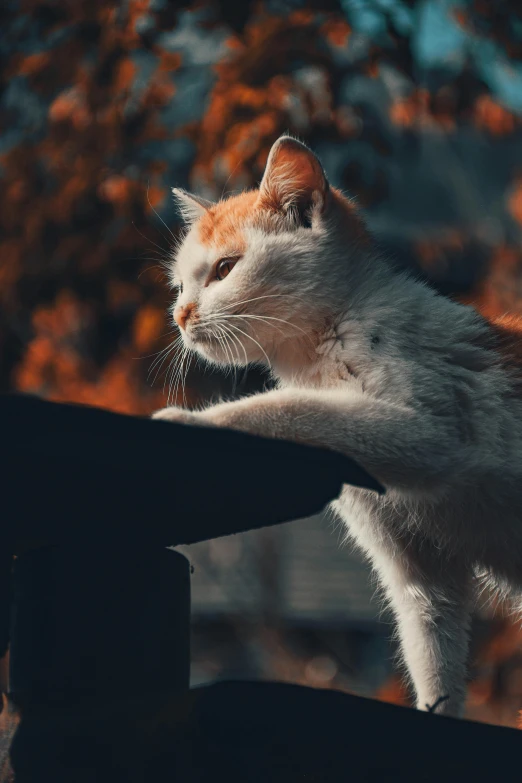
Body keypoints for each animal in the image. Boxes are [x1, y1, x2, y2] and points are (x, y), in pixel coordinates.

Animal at [152, 133, 520, 716]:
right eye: (178, 285)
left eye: (225, 269)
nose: (181, 315)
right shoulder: (420, 572)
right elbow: (432, 647)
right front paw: (436, 711)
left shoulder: (429, 433)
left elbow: (293, 408)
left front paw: (190, 419)